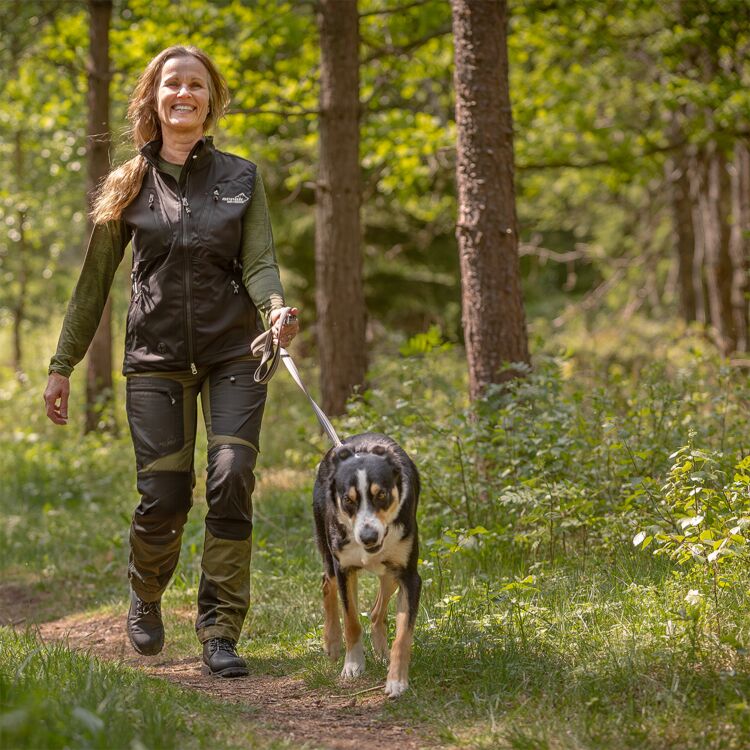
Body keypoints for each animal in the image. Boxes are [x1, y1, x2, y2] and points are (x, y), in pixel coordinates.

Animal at [312, 432, 424, 704]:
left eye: (381, 494)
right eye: (348, 500)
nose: (368, 537)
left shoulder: (409, 577)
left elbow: (403, 636)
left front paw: (397, 681)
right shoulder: (344, 569)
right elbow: (351, 620)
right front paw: (352, 665)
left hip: (391, 574)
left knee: (376, 612)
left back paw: (381, 651)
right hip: (329, 554)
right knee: (326, 583)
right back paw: (332, 642)